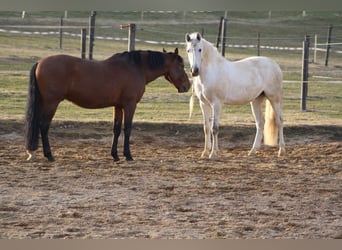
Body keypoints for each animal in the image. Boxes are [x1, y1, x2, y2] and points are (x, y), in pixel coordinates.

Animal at [25, 48, 191, 162]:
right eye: (181, 66)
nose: (187, 86)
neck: (136, 68)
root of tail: (40, 62)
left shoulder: (118, 106)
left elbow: (116, 129)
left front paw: (115, 155)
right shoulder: (130, 105)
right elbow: (127, 129)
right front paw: (128, 155)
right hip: (51, 103)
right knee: (43, 126)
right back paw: (49, 155)